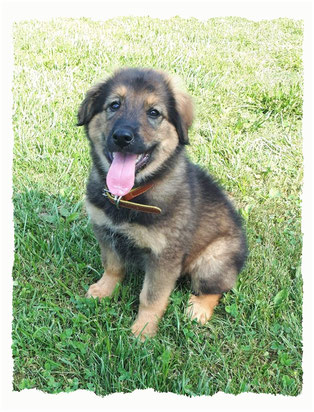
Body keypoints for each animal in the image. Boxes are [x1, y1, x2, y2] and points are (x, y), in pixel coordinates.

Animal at [76, 67, 248, 338]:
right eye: (114, 105)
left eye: (154, 112)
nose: (122, 137)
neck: (130, 197)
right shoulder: (105, 231)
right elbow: (112, 266)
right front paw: (103, 290)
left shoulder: (164, 256)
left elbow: (151, 297)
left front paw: (143, 330)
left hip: (214, 260)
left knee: (217, 289)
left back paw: (198, 309)